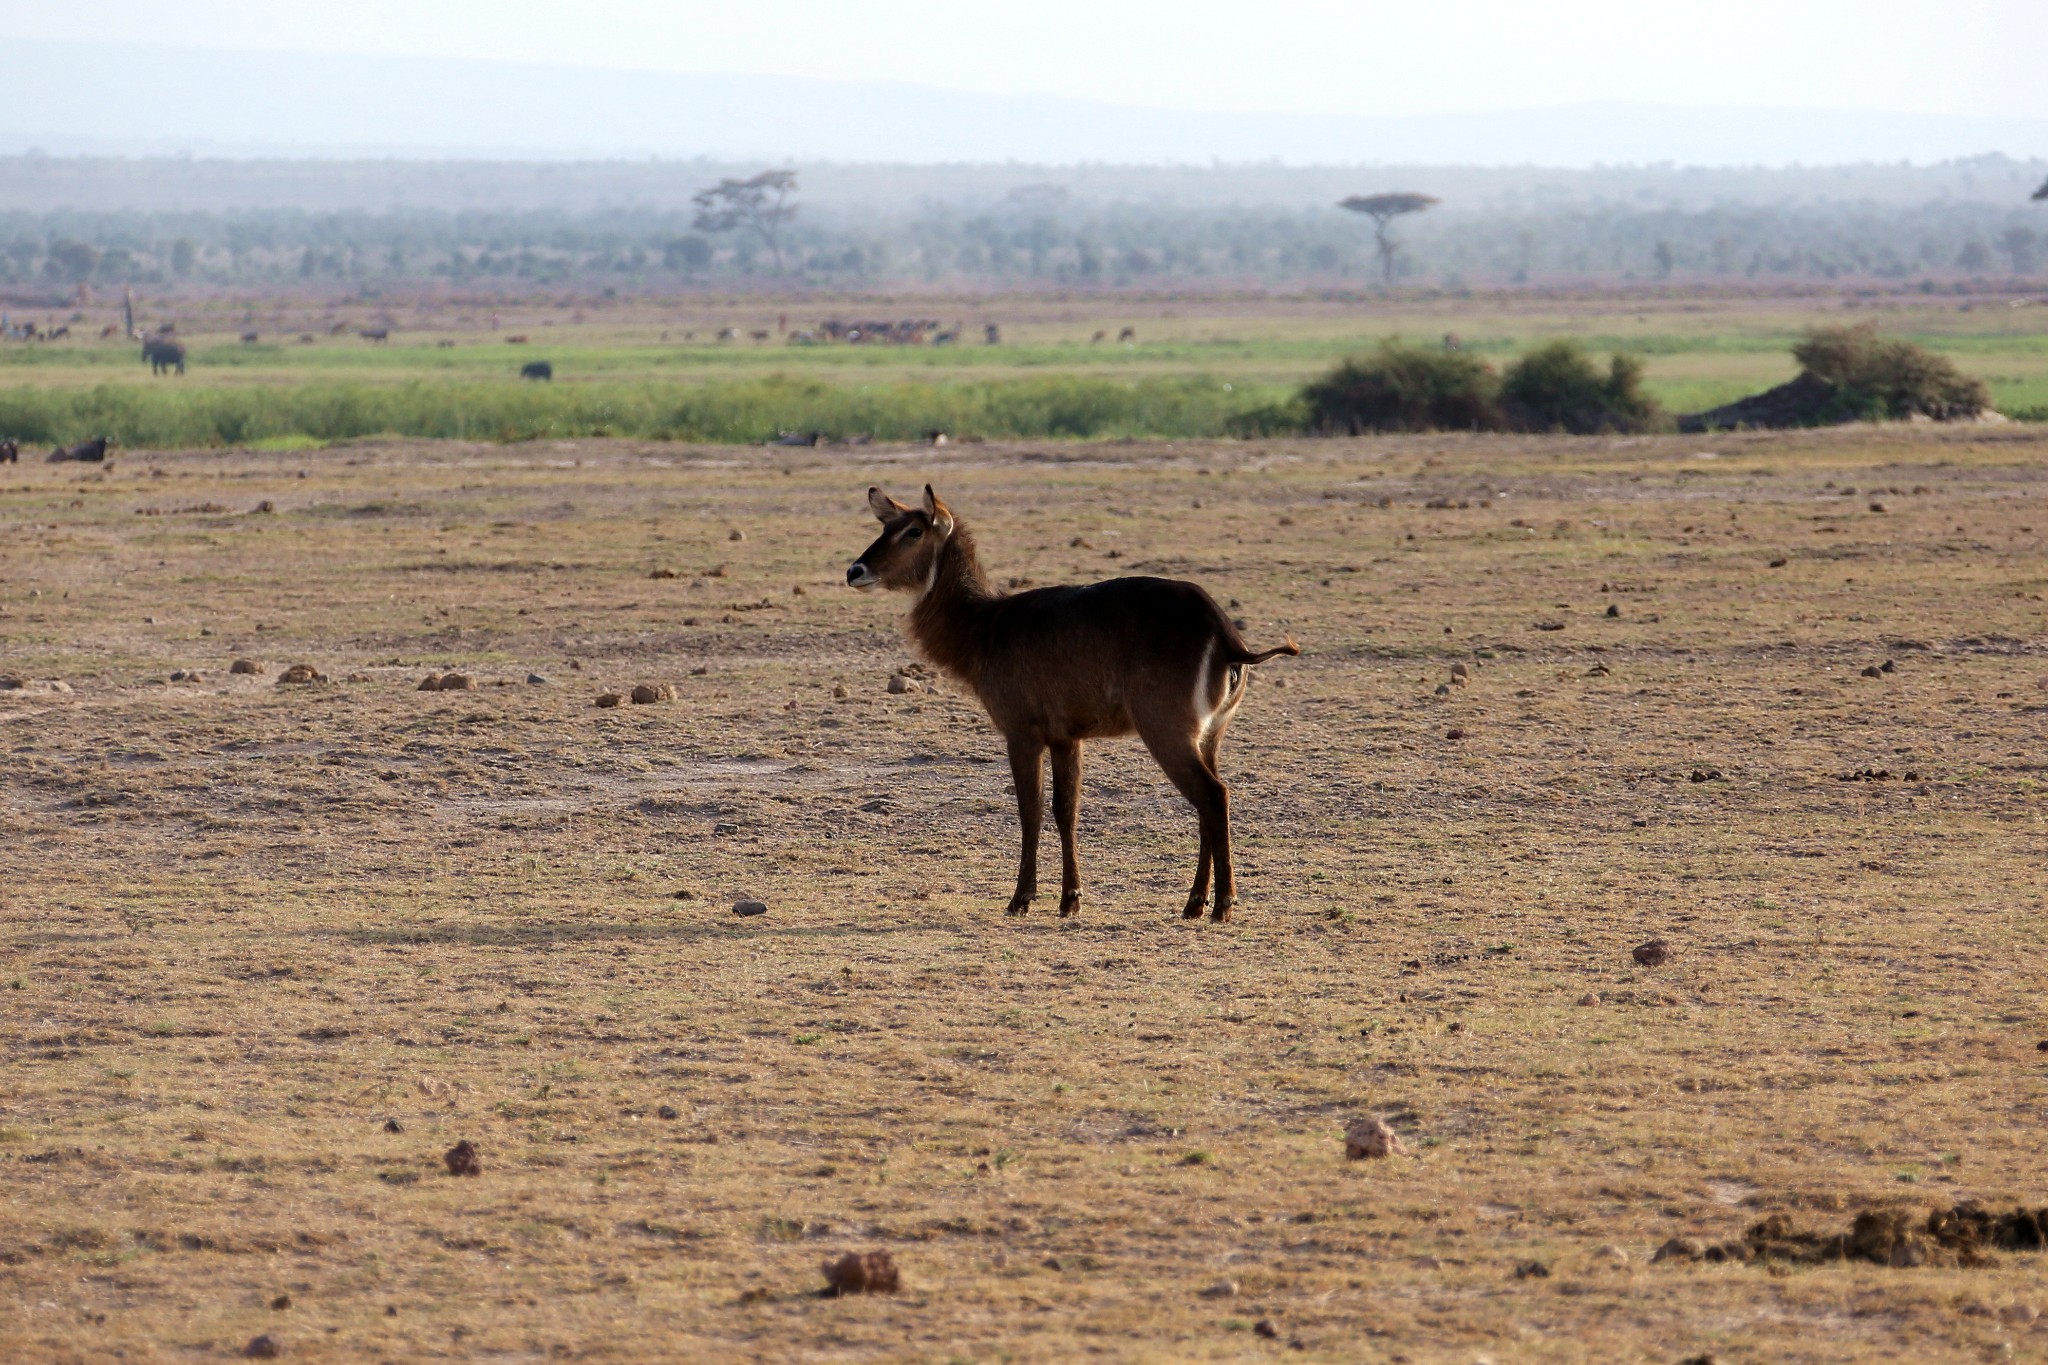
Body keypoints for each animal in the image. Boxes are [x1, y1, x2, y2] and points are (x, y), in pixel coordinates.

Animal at [847, 485, 1294, 925]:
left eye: (914, 531)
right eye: (885, 526)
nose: (855, 571)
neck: (986, 626)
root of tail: (1226, 635)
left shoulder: (1021, 733)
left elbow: (1030, 810)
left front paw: (1020, 899)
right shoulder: (1067, 737)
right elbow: (1067, 811)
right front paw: (1070, 899)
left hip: (1167, 731)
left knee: (1214, 796)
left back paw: (1221, 905)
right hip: (1210, 735)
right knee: (1207, 804)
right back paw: (1194, 905)